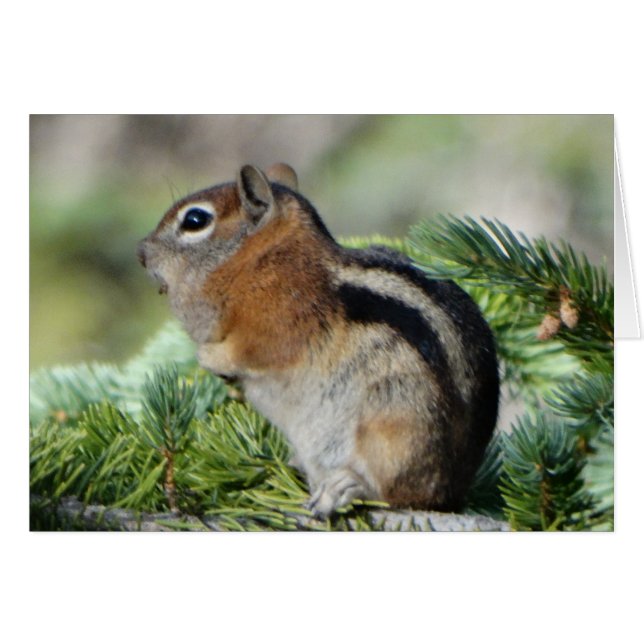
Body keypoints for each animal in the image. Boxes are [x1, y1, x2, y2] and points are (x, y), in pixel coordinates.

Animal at [137, 163, 499, 518]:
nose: (141, 252)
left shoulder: (278, 321)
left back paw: (344, 488)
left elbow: (253, 350)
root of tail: (453, 494)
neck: (260, 260)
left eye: (195, 220)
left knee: (397, 494)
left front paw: (209, 356)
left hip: (396, 426)